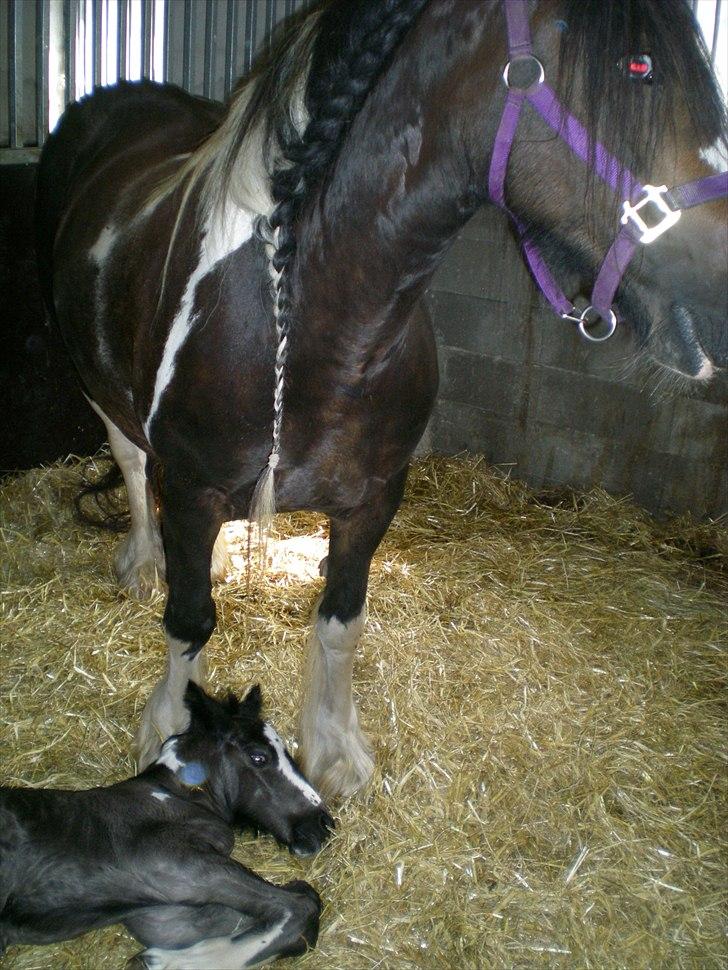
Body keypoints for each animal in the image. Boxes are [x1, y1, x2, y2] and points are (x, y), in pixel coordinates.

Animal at [0, 680, 334, 968]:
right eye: (259, 757)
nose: (323, 822)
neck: (175, 795)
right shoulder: (178, 866)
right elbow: (301, 907)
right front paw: (165, 962)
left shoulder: (159, 914)